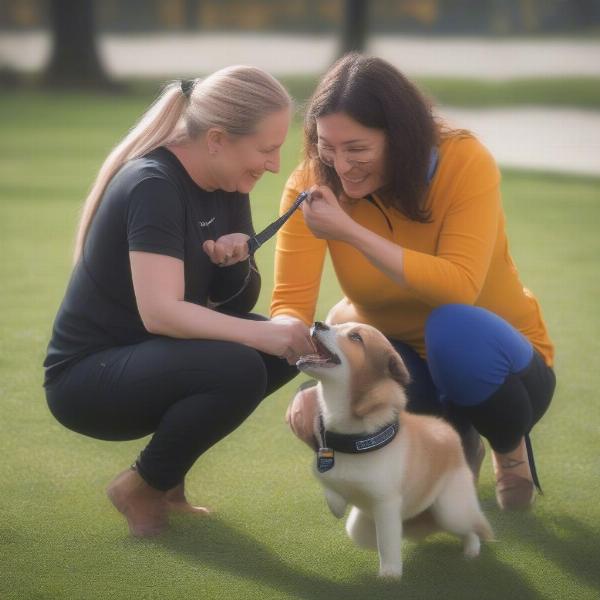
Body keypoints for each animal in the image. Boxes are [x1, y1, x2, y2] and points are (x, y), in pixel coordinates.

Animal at [296, 322, 492, 580]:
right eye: (337, 325)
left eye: (356, 338)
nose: (318, 323)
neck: (354, 440)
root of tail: (449, 431)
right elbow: (332, 490)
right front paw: (337, 502)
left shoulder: (386, 504)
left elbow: (387, 545)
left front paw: (389, 577)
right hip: (367, 525)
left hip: (451, 509)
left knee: (470, 525)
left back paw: (471, 549)